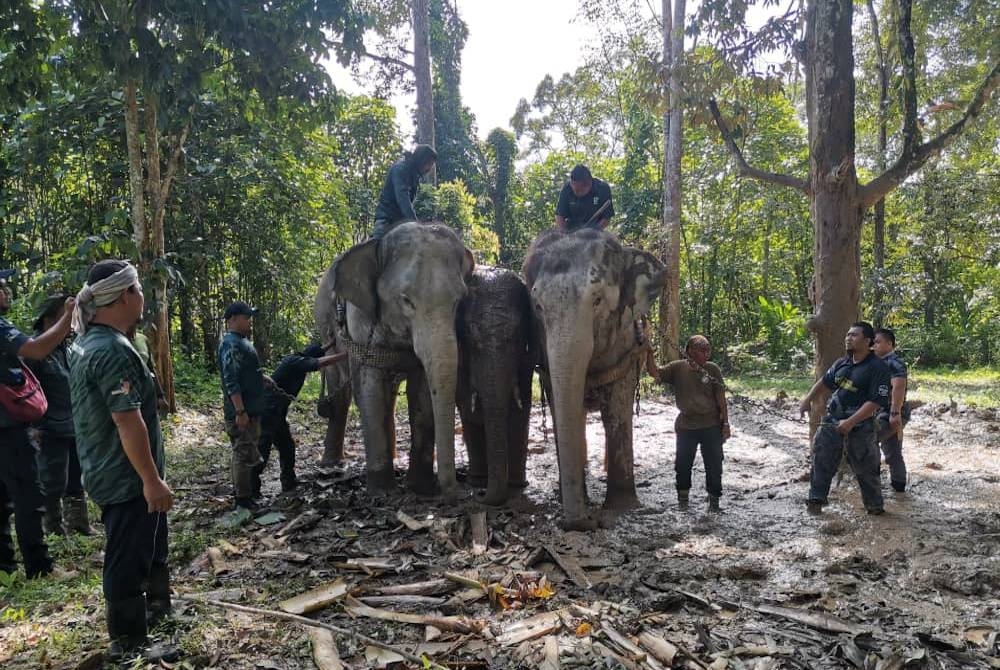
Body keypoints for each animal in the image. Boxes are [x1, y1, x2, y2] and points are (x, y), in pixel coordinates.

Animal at [320, 223, 476, 496]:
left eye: (459, 300)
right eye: (406, 300)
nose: (456, 490)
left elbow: (422, 392)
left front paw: (421, 486)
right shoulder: (359, 319)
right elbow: (370, 389)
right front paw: (382, 491)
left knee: (389, 397)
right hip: (324, 330)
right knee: (340, 392)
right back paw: (331, 463)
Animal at [458, 266, 536, 506]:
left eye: (517, 336)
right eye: (470, 336)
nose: (481, 494)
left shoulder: (525, 361)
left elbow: (520, 413)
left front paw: (518, 486)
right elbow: (467, 410)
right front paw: (476, 482)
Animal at [524, 228, 664, 532]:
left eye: (598, 300)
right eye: (538, 307)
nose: (581, 524)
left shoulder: (626, 346)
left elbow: (616, 409)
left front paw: (622, 506)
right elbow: (561, 411)